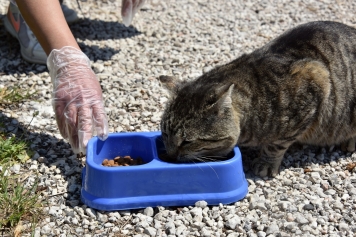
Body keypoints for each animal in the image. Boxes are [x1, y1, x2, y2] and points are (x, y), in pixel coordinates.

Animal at [160, 21, 356, 177]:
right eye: (165, 133)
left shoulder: (317, 78)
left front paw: (266, 163)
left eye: (187, 142)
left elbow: (277, 144)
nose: (170, 155)